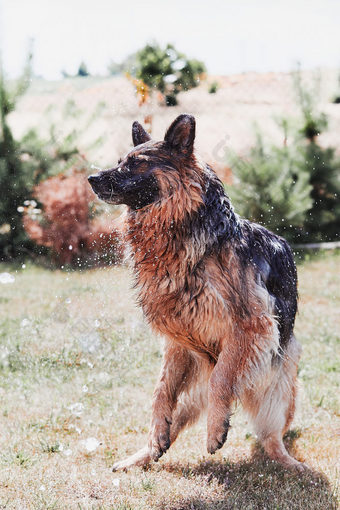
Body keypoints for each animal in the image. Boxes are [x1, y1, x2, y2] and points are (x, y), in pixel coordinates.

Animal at [87, 113, 302, 472]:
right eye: (119, 162)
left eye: (136, 163)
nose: (91, 178)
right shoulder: (179, 340)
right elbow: (161, 391)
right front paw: (157, 434)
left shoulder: (248, 327)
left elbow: (222, 379)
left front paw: (215, 430)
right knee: (174, 415)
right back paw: (145, 452)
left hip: (278, 381)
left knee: (272, 437)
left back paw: (290, 463)